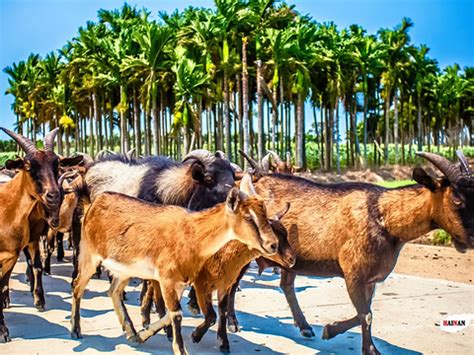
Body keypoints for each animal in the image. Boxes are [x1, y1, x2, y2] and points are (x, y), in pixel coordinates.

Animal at [70, 176, 286, 355]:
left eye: (265, 214)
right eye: (248, 217)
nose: (272, 245)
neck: (191, 234)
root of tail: (93, 204)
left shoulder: (181, 281)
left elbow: (170, 314)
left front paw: (143, 334)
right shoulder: (166, 278)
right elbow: (176, 314)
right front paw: (180, 349)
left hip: (124, 269)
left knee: (113, 291)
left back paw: (131, 331)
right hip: (89, 254)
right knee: (77, 285)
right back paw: (75, 330)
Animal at [233, 151, 474, 355]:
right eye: (457, 200)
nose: (471, 240)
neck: (384, 216)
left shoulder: (370, 279)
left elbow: (365, 313)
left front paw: (345, 337)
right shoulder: (354, 273)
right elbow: (365, 314)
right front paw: (345, 337)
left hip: (290, 260)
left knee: (286, 285)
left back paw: (304, 327)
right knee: (233, 284)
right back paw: (233, 323)